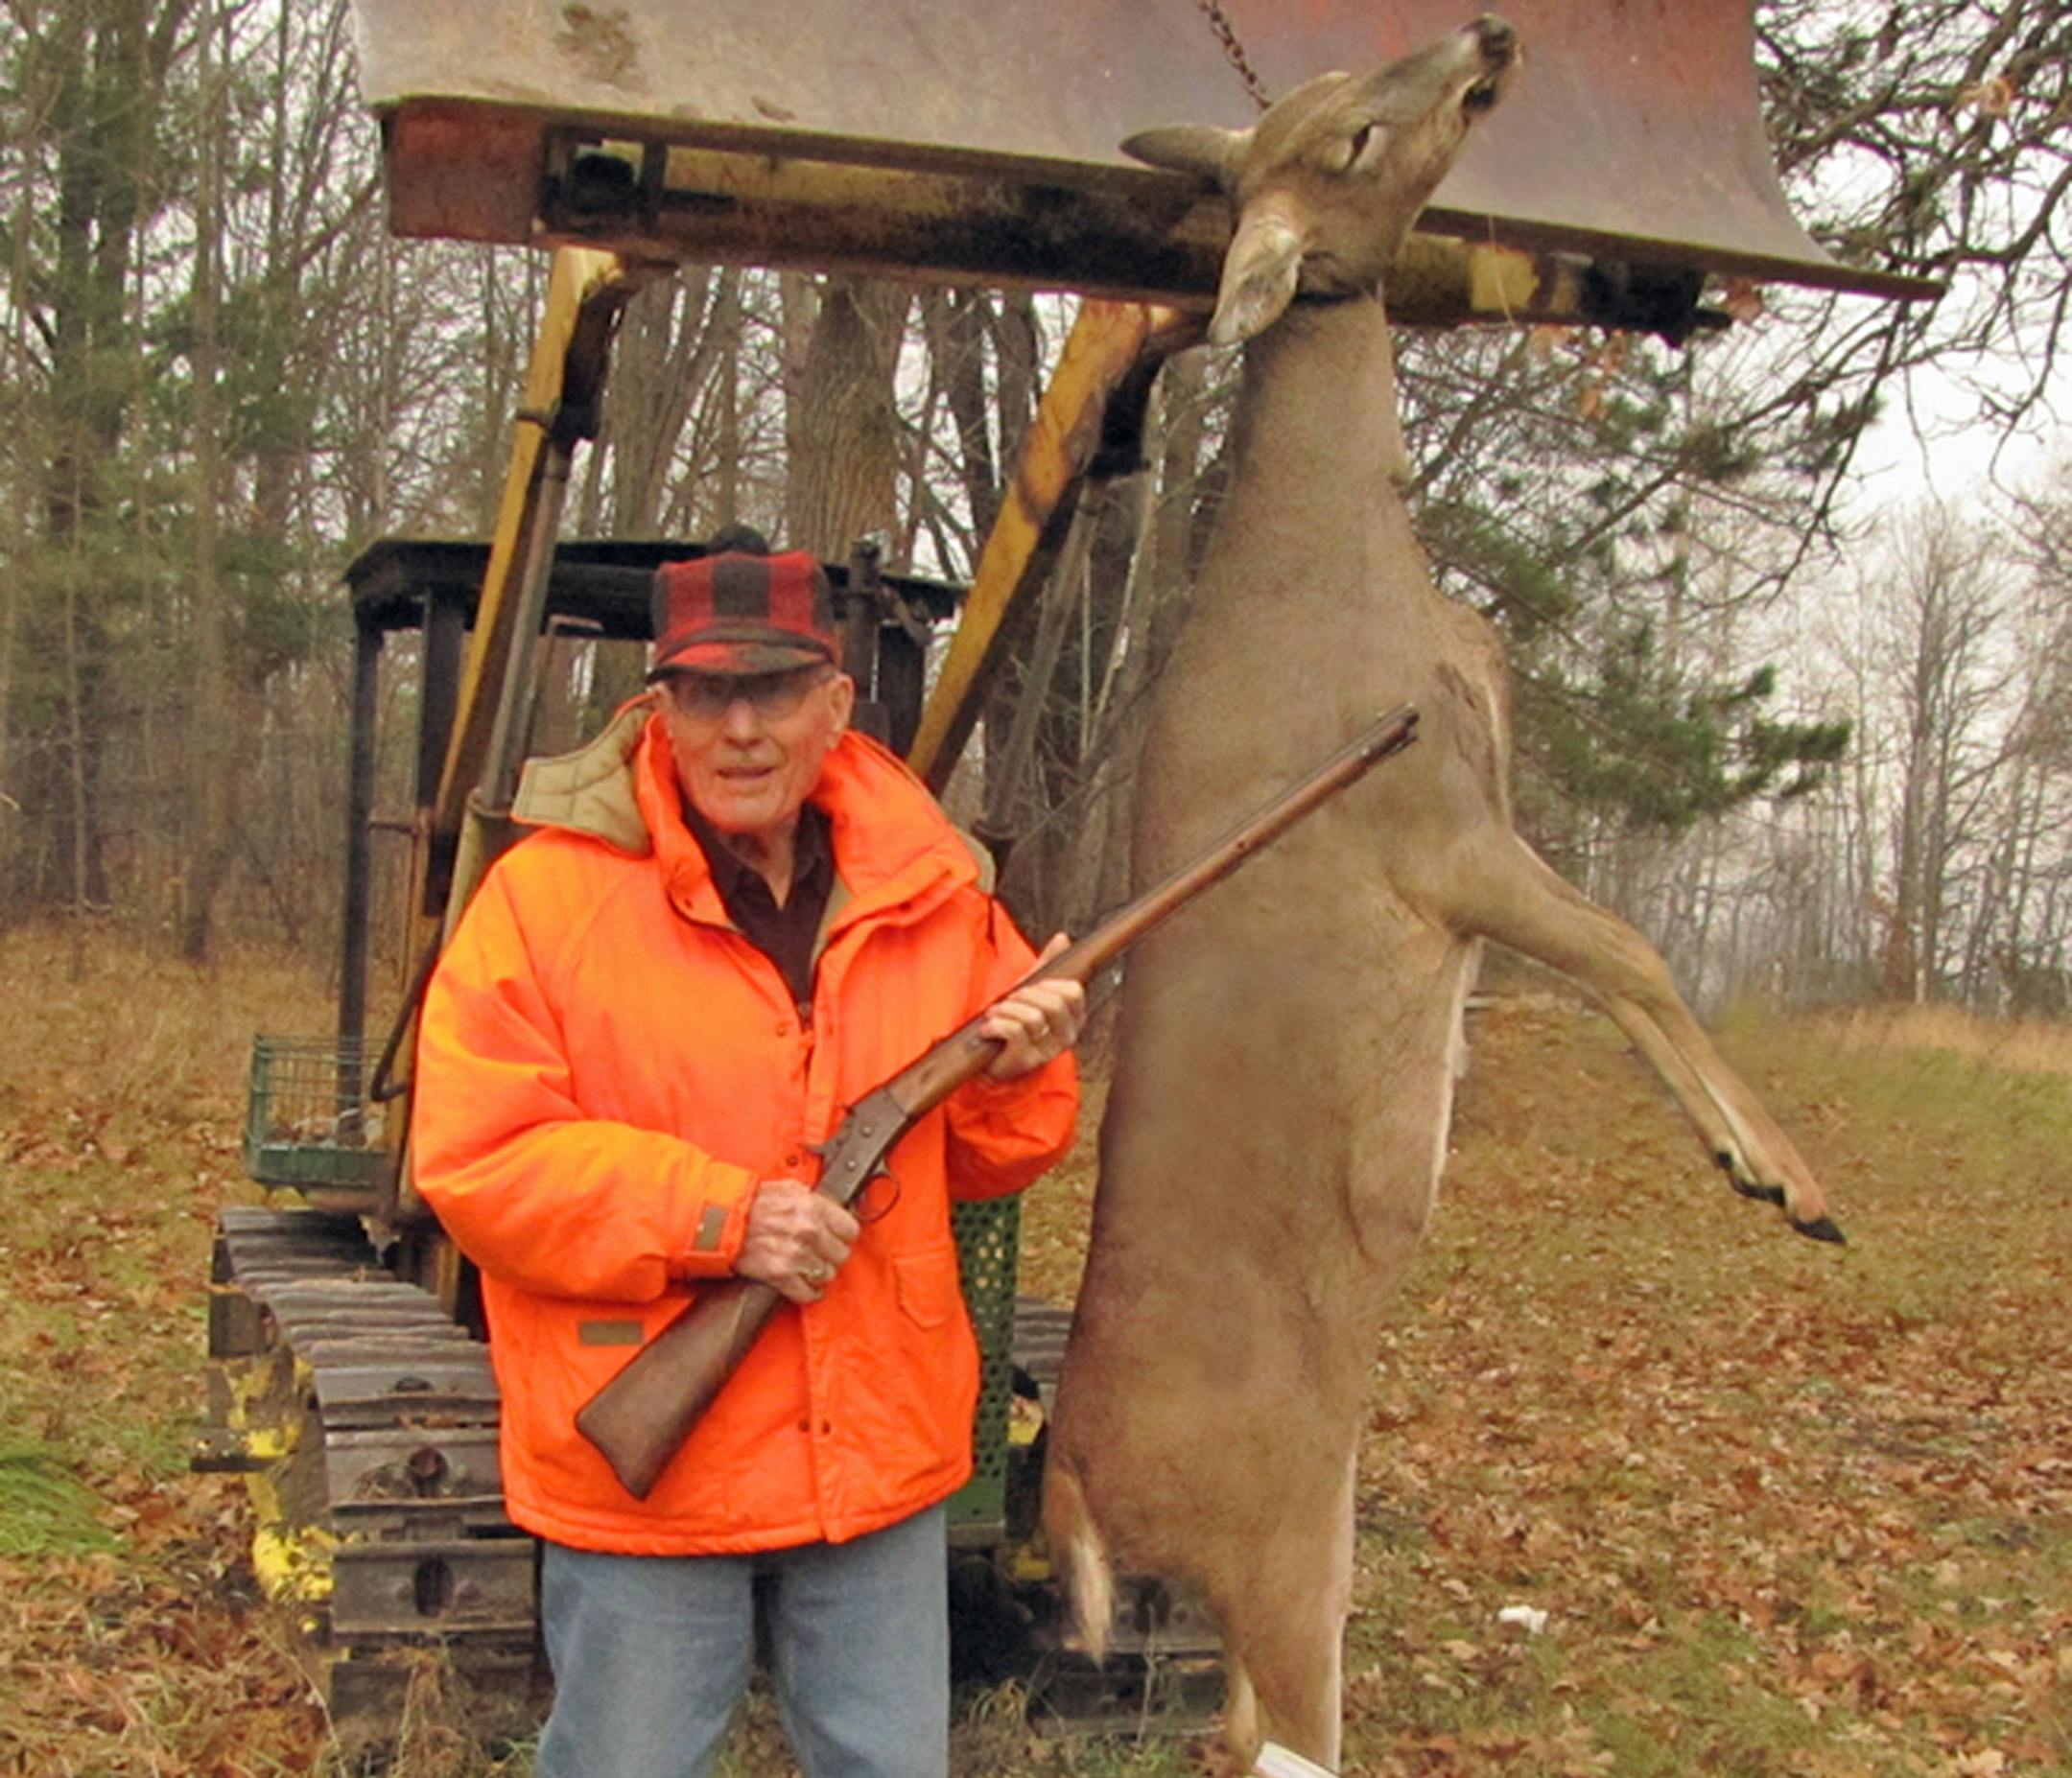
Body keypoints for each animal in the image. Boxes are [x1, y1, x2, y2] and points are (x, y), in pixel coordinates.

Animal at [1040, 16, 1841, 1772]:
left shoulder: (1485, 817)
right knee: (1292, 1735)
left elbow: (1611, 965)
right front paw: (1791, 1177)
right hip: (1283, 1556)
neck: (1346, 557)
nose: (1486, 34)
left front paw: (1754, 1160)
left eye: (1342, 81)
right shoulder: (1437, 825)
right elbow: (1635, 948)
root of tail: (1069, 1479)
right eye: (1346, 133)